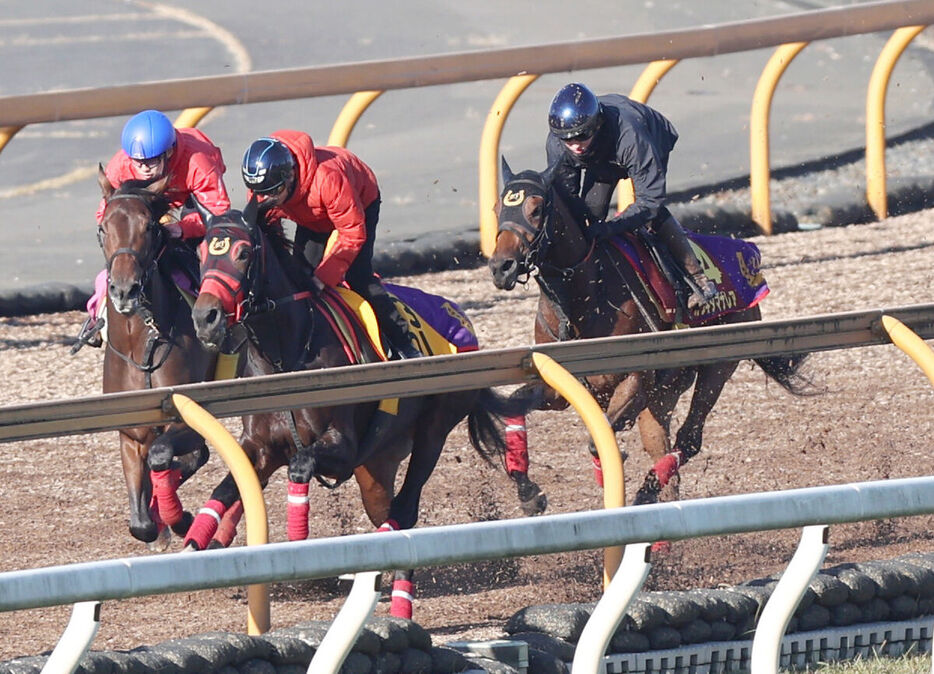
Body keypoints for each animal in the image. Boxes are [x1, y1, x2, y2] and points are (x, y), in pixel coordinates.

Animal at [96, 167, 218, 544]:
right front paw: (158, 516)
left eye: (149, 226)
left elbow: (176, 457)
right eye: (103, 227)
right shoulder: (131, 434)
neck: (142, 346)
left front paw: (179, 517)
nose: (124, 290)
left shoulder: (187, 419)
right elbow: (141, 526)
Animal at [183, 197, 528, 616]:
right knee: (388, 510)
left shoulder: (342, 448)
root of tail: (459, 316)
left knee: (405, 509)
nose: (205, 318)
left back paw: (399, 605)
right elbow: (226, 488)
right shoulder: (261, 448)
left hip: (432, 431)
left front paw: (298, 539)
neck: (287, 357)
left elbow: (300, 466)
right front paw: (194, 545)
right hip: (378, 462)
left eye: (244, 253)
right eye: (202, 254)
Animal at [486, 160, 816, 510]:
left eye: (536, 209)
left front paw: (608, 472)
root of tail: (746, 254)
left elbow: (598, 440)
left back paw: (646, 492)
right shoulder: (559, 386)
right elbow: (515, 404)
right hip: (665, 391)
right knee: (662, 444)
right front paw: (528, 492)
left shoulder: (635, 381)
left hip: (716, 367)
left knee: (690, 437)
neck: (583, 300)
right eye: (496, 209)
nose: (501, 267)